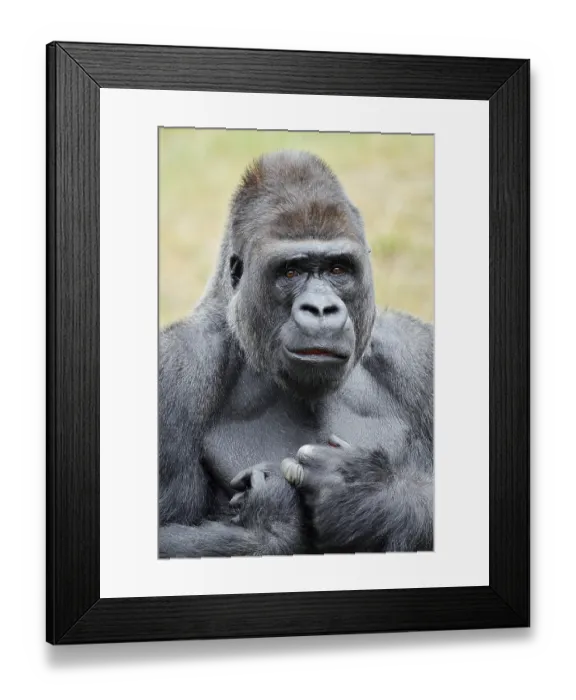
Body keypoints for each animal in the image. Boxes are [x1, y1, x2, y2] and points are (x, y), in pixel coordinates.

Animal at [158, 150, 433, 557]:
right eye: (290, 272)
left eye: (337, 269)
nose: (320, 309)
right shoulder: (177, 369)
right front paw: (273, 521)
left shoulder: (418, 356)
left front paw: (366, 495)